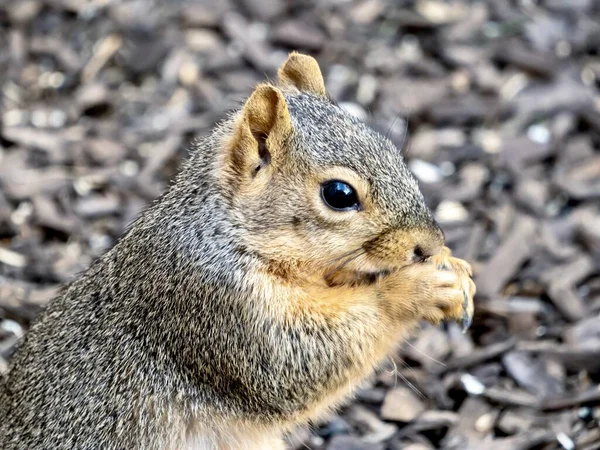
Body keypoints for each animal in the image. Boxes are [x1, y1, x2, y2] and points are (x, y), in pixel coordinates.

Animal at [2, 53, 476, 450]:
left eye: (392, 151)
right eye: (339, 194)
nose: (430, 243)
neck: (231, 232)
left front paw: (458, 273)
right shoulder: (216, 305)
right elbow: (298, 366)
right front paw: (417, 288)